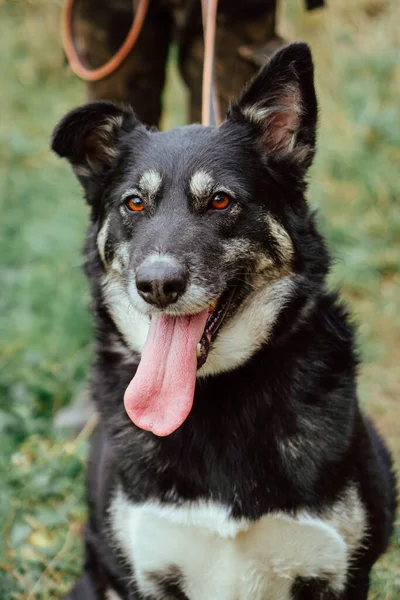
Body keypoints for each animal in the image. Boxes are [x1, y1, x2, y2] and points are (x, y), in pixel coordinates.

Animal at [50, 43, 396, 600]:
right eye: (134, 202)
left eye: (220, 200)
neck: (213, 396)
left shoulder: (337, 571)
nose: (157, 284)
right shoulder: (145, 573)